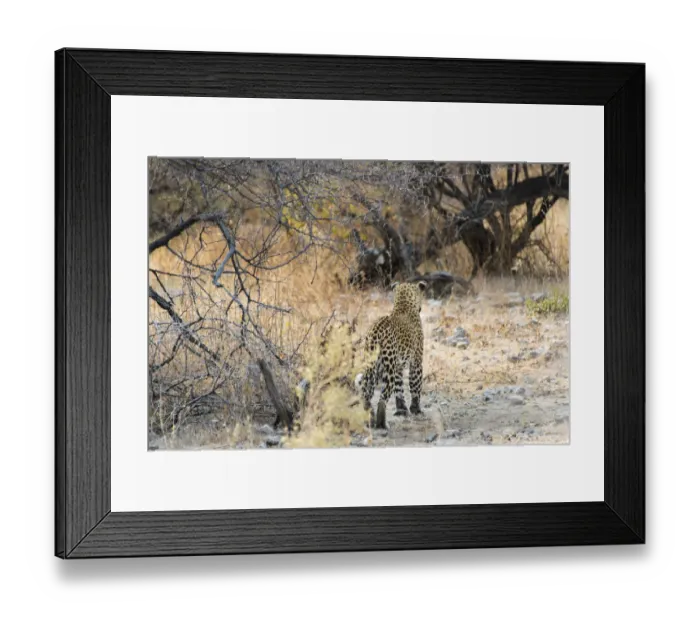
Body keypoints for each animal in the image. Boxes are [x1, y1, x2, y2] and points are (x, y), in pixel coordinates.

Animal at [360, 280, 427, 429]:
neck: (403, 303)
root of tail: (375, 332)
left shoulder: (398, 366)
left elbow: (399, 388)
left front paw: (402, 410)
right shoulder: (416, 362)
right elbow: (415, 386)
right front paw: (416, 409)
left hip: (371, 367)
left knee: (366, 394)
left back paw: (369, 420)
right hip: (387, 368)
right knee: (382, 398)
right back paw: (381, 424)